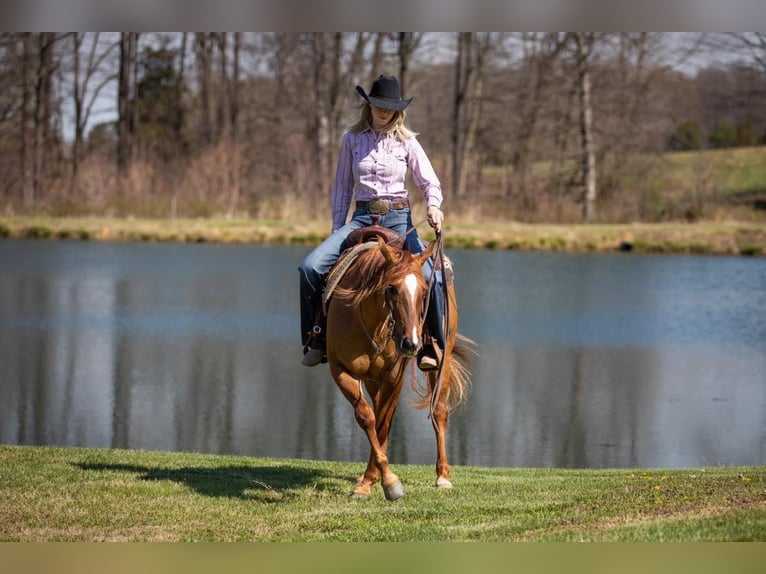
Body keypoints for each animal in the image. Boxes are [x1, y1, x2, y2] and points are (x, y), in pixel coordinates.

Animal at [322, 226, 472, 504]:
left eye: (424, 291)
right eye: (391, 288)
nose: (411, 343)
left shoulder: (394, 377)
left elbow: (382, 424)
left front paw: (386, 482)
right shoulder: (340, 371)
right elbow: (368, 418)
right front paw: (373, 481)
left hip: (441, 361)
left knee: (439, 411)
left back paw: (443, 476)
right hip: (372, 381)